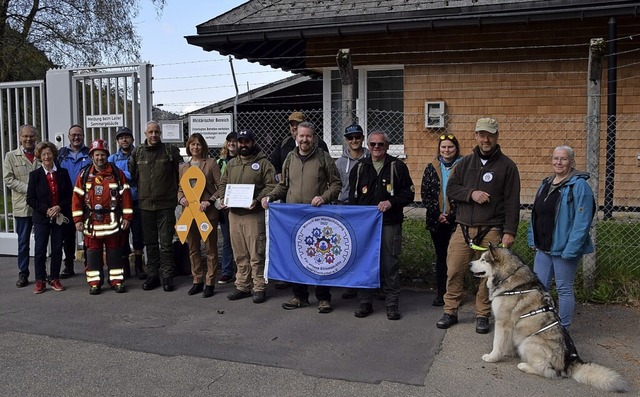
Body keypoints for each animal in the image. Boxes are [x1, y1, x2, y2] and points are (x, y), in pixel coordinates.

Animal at [470, 246, 632, 392]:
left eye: (483, 259)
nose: (470, 264)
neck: (509, 277)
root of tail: (569, 361)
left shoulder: (502, 322)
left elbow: (497, 343)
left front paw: (492, 357)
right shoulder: (509, 326)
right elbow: (506, 342)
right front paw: (507, 352)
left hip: (529, 342)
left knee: (548, 372)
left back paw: (524, 366)